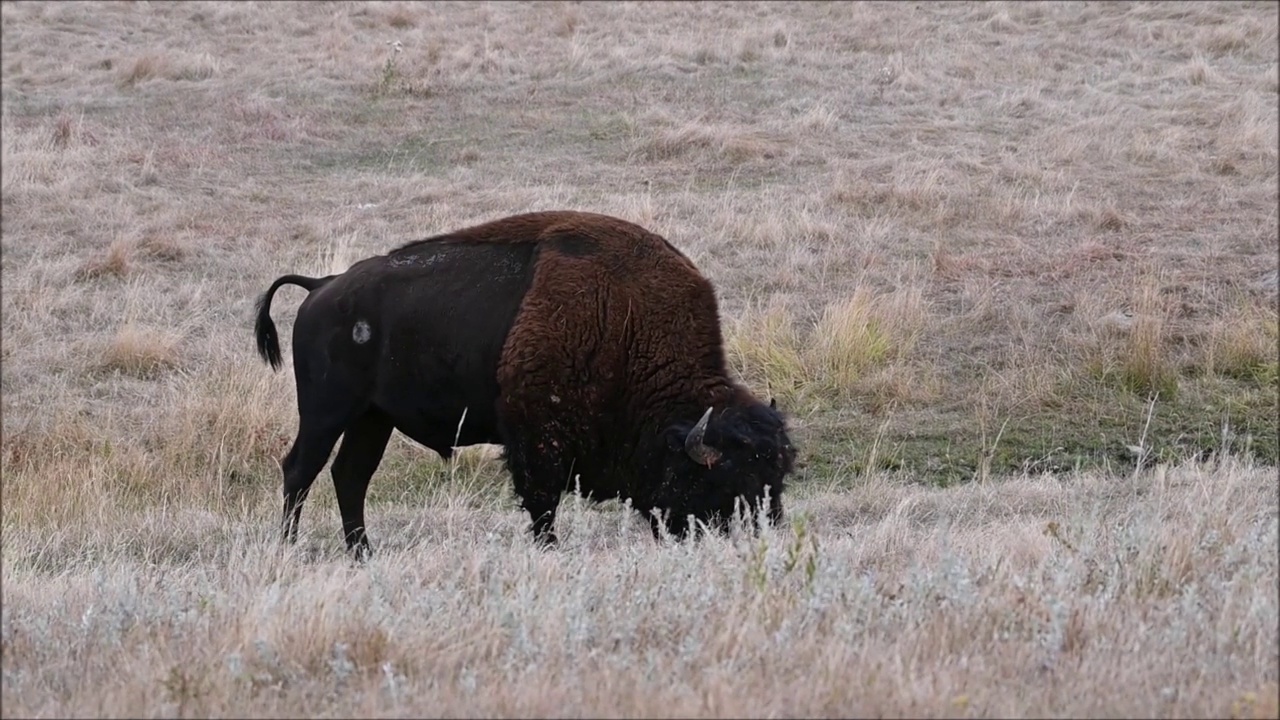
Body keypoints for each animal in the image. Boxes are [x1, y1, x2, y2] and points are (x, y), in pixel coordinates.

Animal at [253, 208, 793, 556]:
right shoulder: (538, 439)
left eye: (778, 480)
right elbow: (542, 504)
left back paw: (363, 553)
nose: (759, 538)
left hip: (372, 419)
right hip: (327, 411)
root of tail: (323, 286)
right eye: (728, 480)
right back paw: (291, 548)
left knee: (350, 476)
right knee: (300, 470)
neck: (628, 324)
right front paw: (549, 549)